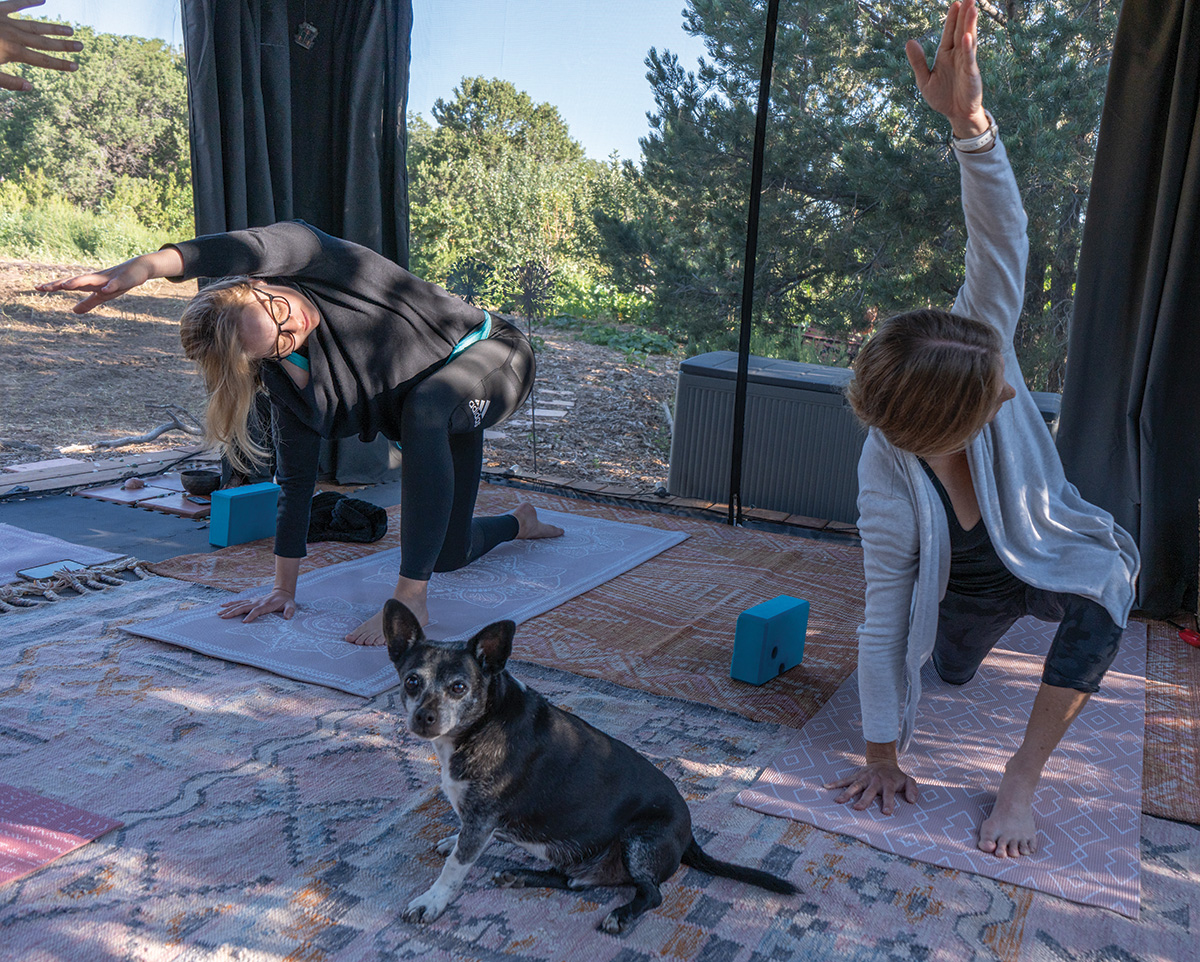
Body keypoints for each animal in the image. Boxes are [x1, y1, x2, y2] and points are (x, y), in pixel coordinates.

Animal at [386, 599, 796, 930]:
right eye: (411, 681)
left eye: (458, 687)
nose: (423, 718)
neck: (483, 722)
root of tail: (689, 835)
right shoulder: (480, 820)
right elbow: (464, 843)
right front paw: (453, 842)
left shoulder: (483, 817)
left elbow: (456, 867)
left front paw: (431, 902)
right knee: (573, 881)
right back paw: (520, 875)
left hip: (639, 841)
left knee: (651, 894)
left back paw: (620, 916)